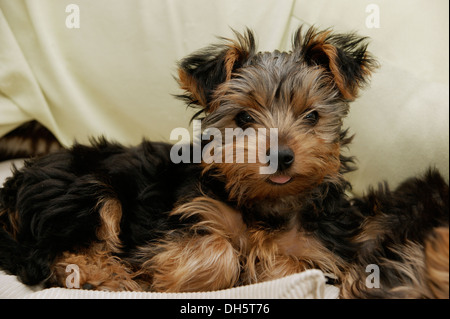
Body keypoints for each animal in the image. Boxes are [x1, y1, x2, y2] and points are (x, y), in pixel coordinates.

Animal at [0, 26, 448, 298]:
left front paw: (263, 261)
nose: (280, 155)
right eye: (244, 119)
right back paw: (106, 276)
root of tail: (12, 191)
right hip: (83, 190)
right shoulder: (173, 223)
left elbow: (288, 263)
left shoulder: (322, 249)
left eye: (312, 116)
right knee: (60, 249)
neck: (263, 203)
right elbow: (219, 250)